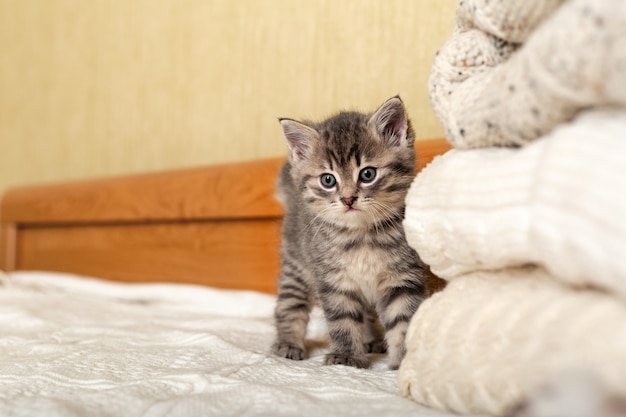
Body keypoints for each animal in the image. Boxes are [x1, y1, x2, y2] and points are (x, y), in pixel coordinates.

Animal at [272, 96, 424, 368]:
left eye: (367, 174)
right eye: (328, 180)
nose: (348, 199)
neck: (362, 236)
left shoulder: (402, 278)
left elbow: (404, 321)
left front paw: (405, 361)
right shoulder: (334, 282)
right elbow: (343, 322)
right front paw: (346, 357)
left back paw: (372, 340)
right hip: (296, 266)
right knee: (289, 305)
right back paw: (288, 343)